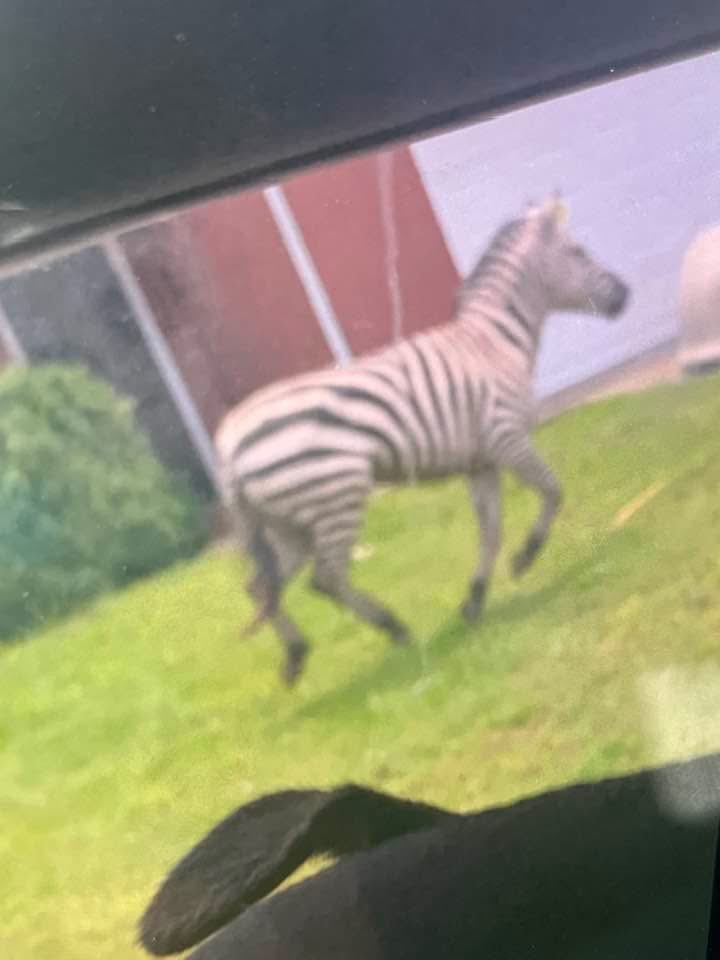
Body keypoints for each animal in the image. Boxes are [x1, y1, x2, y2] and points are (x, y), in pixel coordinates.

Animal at [215, 194, 629, 685]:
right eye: (578, 252)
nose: (626, 295)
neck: (492, 341)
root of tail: (229, 445)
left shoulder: (480, 461)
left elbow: (490, 532)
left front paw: (474, 600)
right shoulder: (507, 438)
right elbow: (552, 492)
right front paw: (525, 558)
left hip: (289, 522)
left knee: (262, 586)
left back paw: (297, 655)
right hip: (335, 495)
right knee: (326, 577)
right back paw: (392, 627)